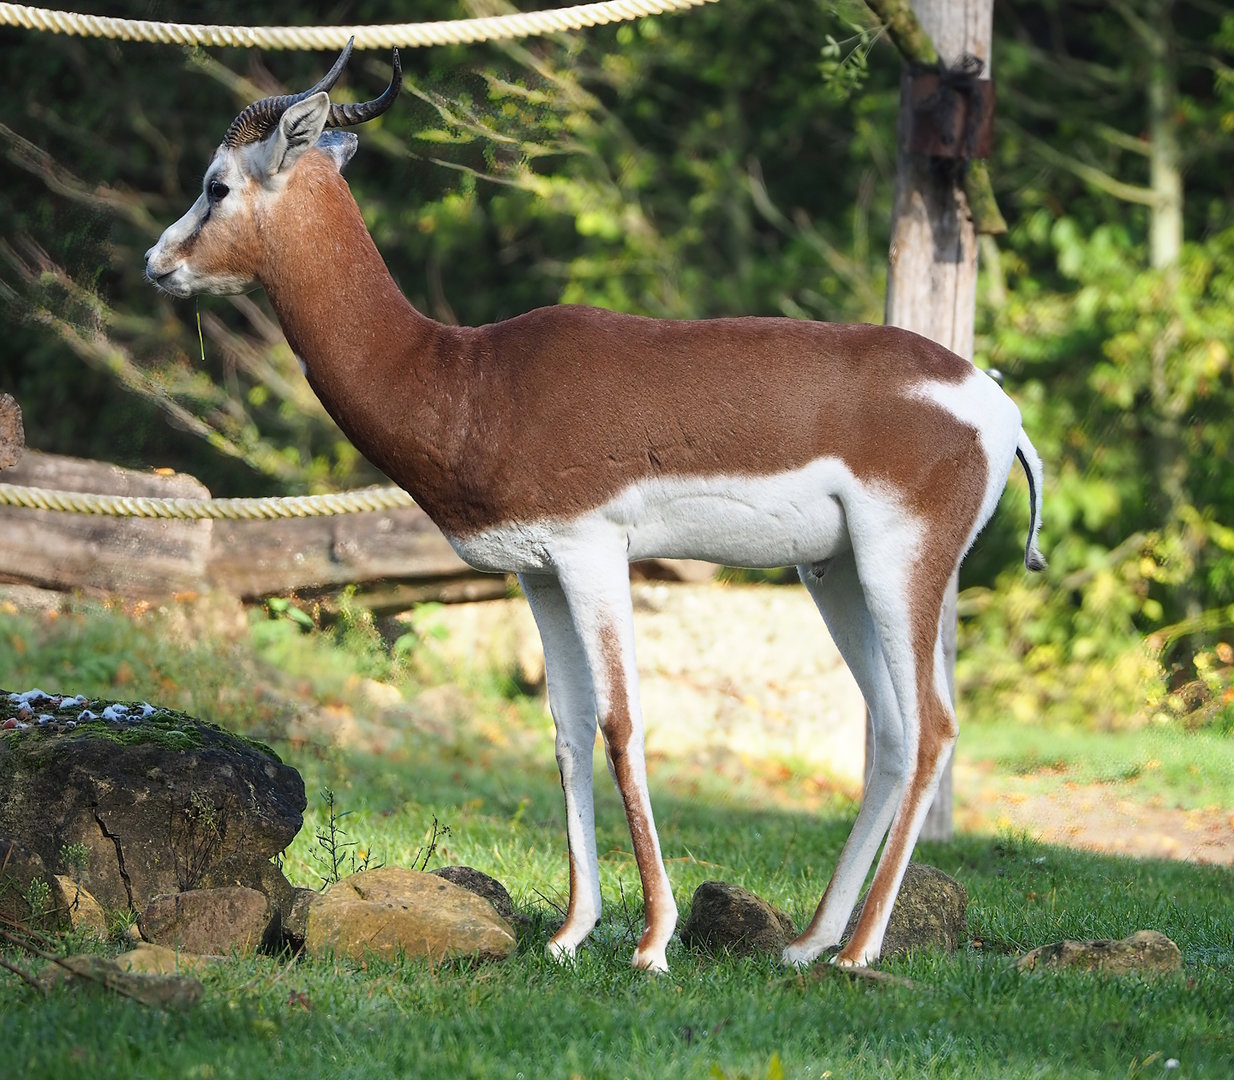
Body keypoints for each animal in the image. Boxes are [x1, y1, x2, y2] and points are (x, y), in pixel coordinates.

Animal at [146, 42, 1046, 973]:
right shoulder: (539, 575)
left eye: (216, 184)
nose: (156, 262)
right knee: (892, 734)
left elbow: (620, 724)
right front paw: (571, 932)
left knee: (934, 728)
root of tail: (999, 407)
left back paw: (859, 952)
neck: (465, 379)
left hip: (902, 563)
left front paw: (652, 942)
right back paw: (808, 944)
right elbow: (569, 732)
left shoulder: (592, 552)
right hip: (835, 574)